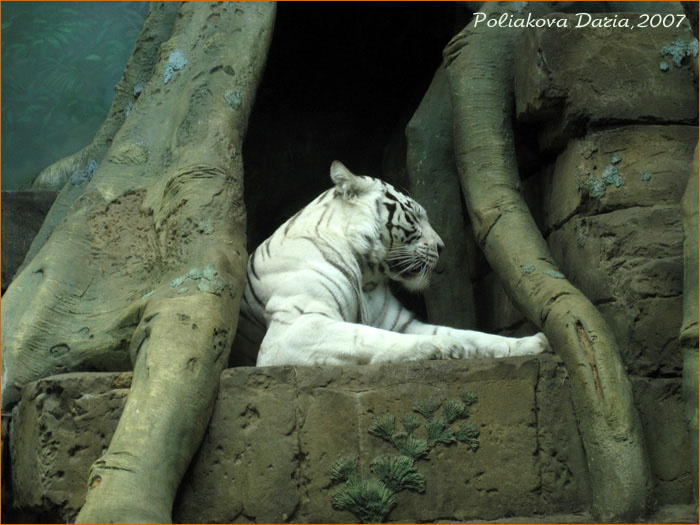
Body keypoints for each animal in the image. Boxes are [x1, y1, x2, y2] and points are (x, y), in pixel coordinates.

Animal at [234, 161, 549, 366]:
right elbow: (366, 337)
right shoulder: (295, 327)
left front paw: (530, 343)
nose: (442, 246)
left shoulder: (401, 322)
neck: (367, 274)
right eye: (416, 216)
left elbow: (472, 335)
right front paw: (445, 347)